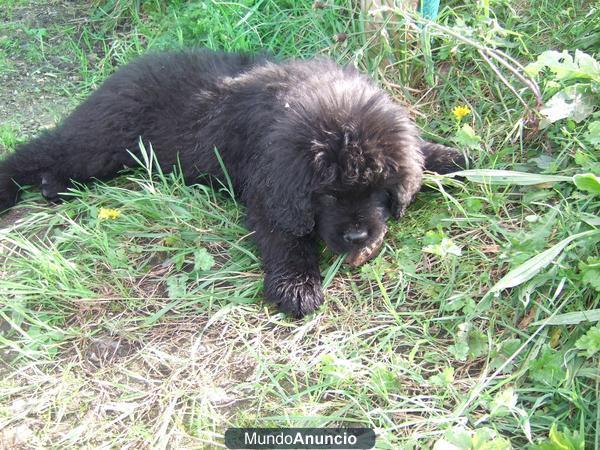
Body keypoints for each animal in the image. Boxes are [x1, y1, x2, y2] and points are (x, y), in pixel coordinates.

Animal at [0, 50, 464, 316]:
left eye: (376, 190)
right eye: (329, 194)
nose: (357, 237)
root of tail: (122, 72)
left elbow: (417, 150)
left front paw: (451, 157)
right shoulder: (268, 192)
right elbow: (285, 238)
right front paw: (297, 287)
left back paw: (55, 187)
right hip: (101, 140)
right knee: (40, 150)